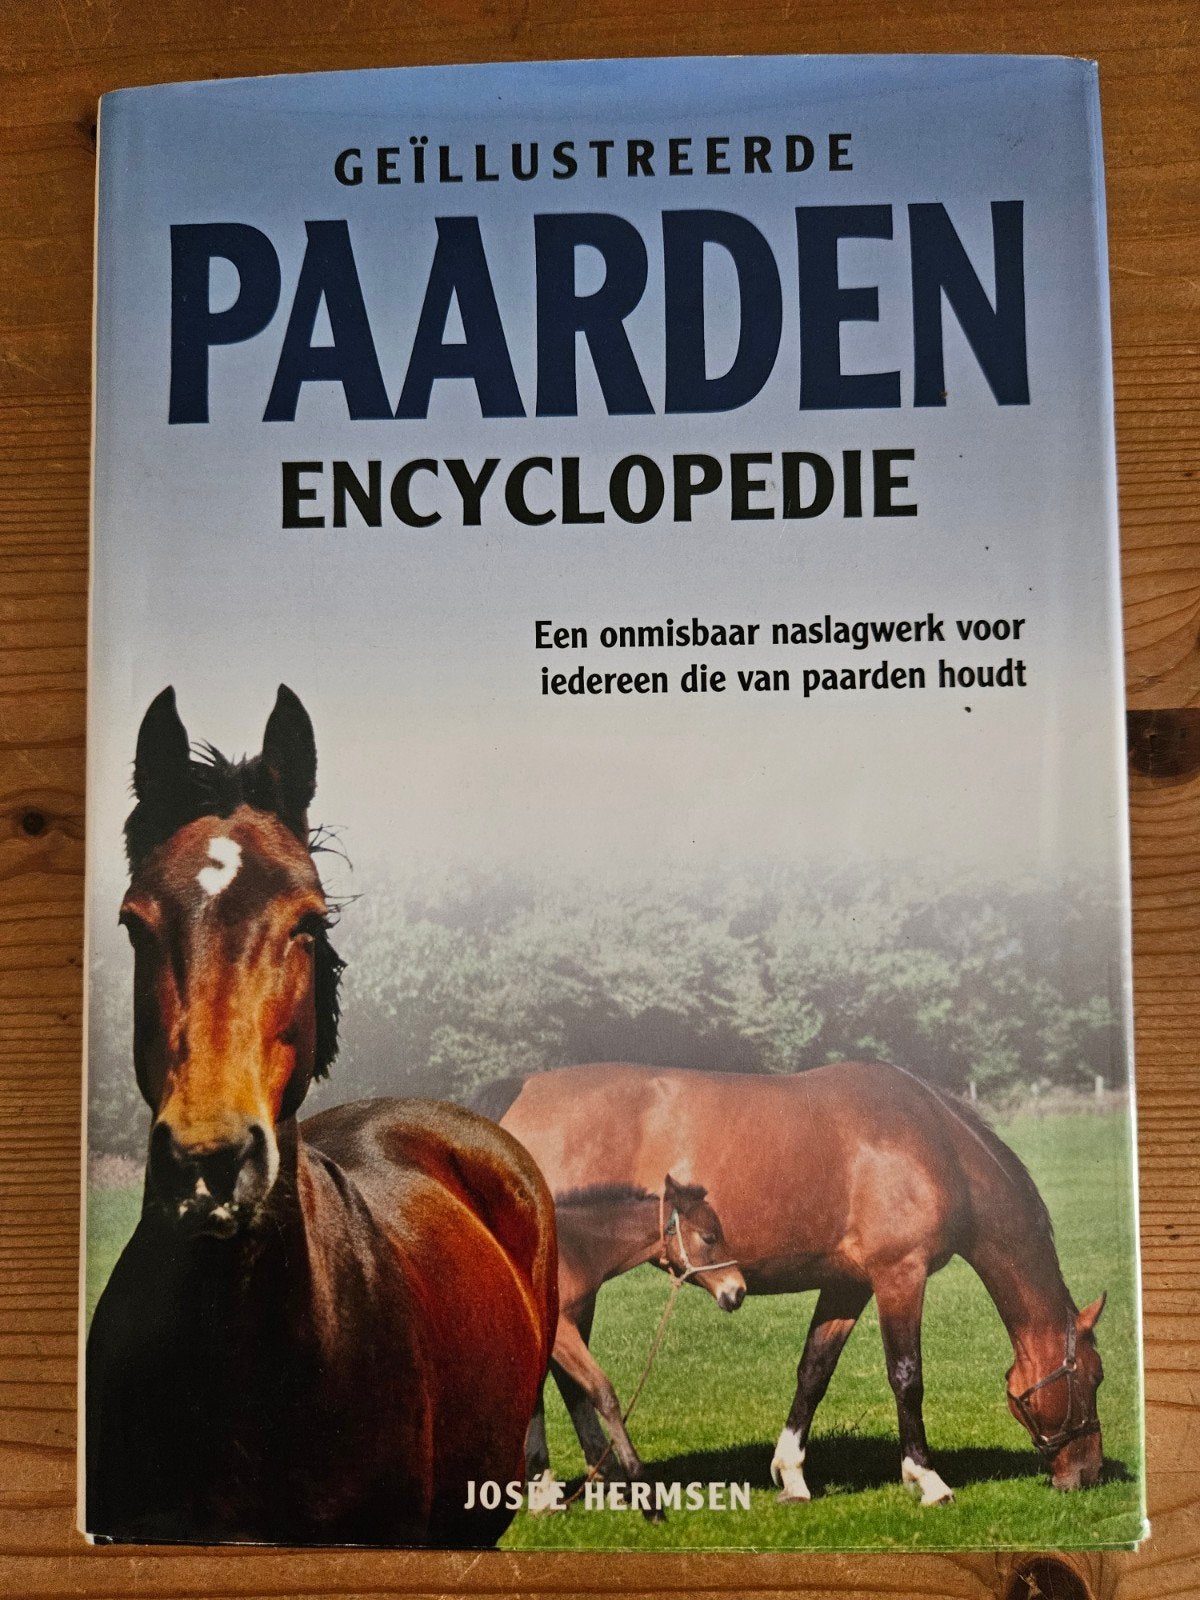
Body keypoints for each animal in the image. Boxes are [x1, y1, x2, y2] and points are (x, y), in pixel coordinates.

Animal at [515, 1172, 745, 1512]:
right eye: (709, 1237)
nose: (738, 1291)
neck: (570, 1253)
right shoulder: (562, 1333)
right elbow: (602, 1393)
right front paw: (638, 1481)